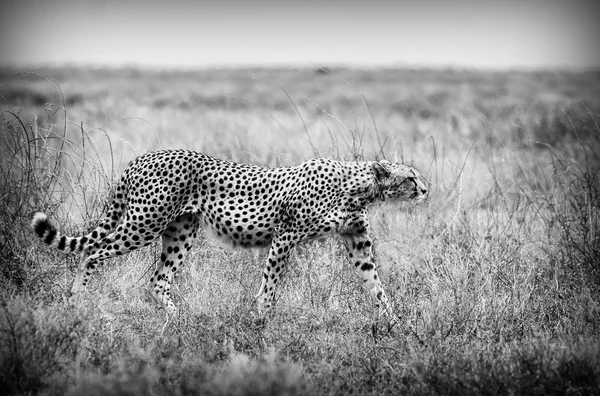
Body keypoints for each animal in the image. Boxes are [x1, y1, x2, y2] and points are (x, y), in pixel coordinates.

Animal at [30, 150, 428, 318]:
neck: (357, 186)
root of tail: (145, 155)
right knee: (92, 252)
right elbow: (270, 285)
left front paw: (394, 323)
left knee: (159, 279)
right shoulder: (285, 236)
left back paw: (177, 320)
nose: (426, 189)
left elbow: (376, 286)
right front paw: (262, 321)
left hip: (180, 232)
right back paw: (75, 301)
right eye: (411, 177)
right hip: (144, 223)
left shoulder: (357, 241)